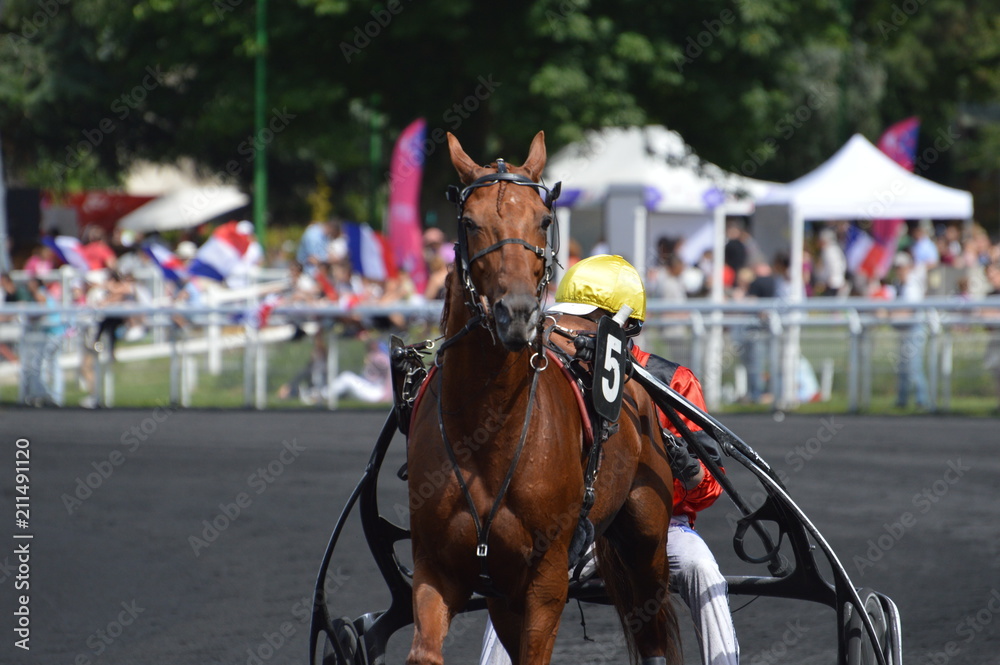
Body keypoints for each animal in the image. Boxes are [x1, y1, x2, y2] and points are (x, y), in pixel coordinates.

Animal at [406, 131, 680, 664]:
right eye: (470, 222)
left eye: (545, 219)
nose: (515, 314)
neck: (488, 428)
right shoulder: (439, 566)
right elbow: (425, 650)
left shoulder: (547, 574)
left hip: (646, 536)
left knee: (653, 624)